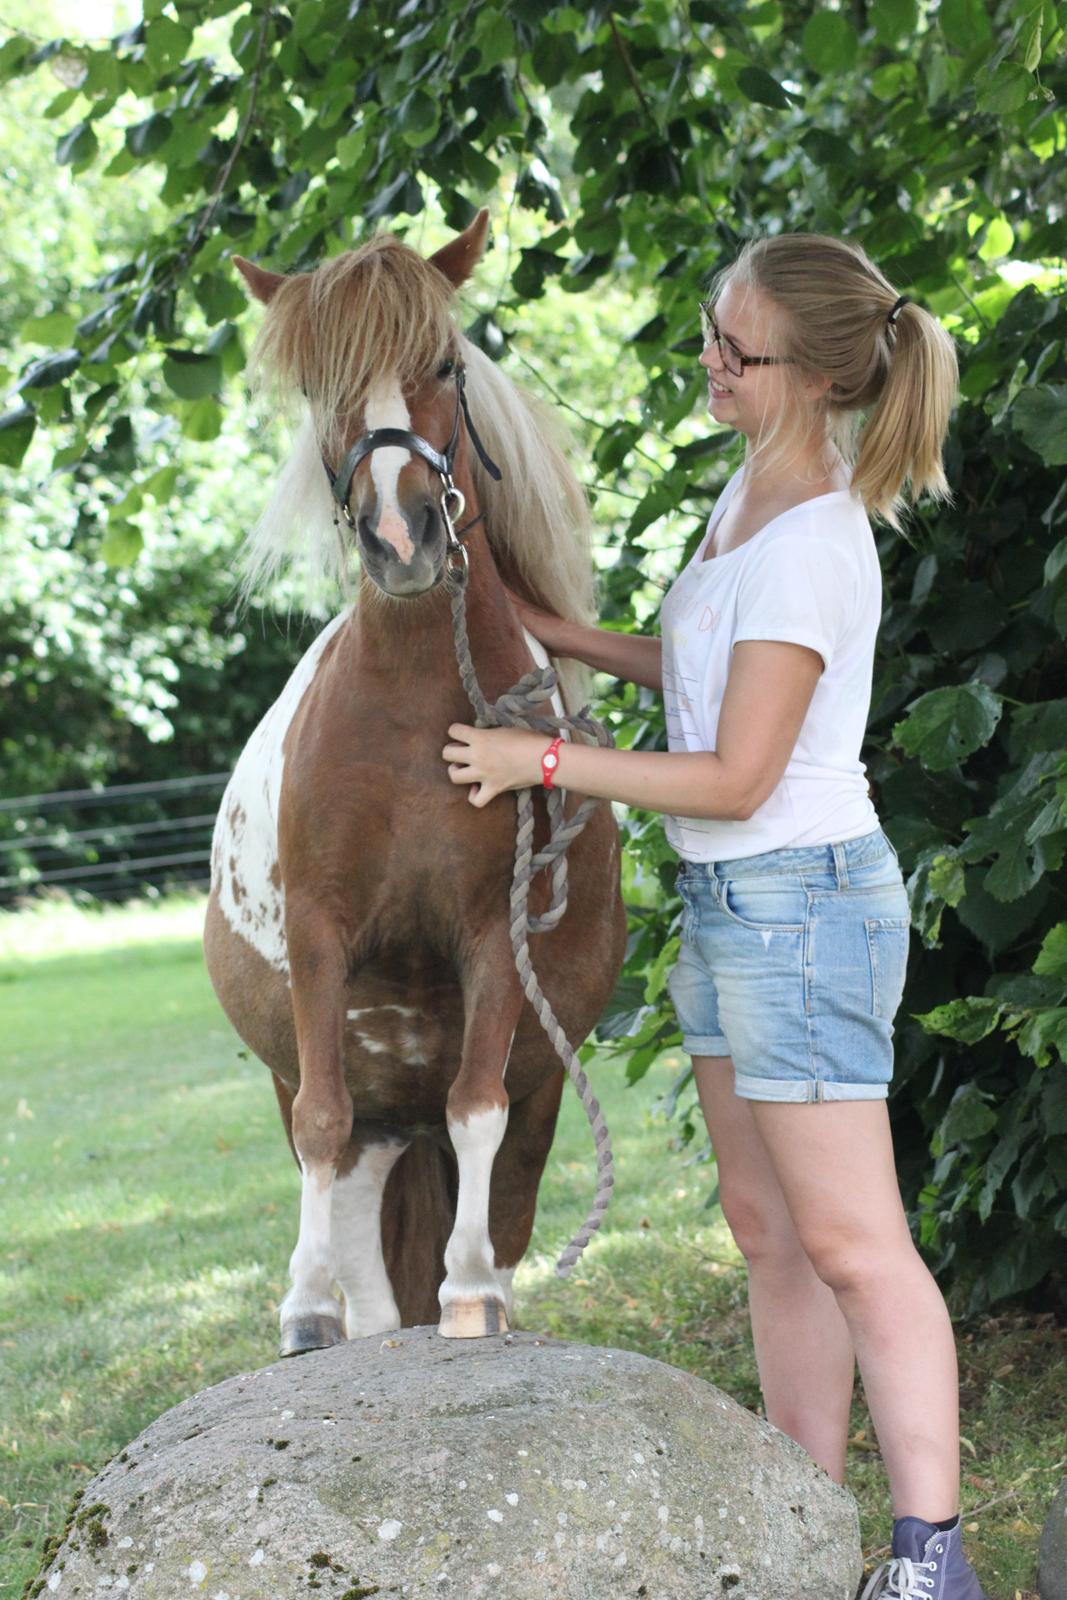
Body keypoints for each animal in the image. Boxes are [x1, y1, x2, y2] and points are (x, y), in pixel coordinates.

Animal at [204, 209, 630, 1350]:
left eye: (443, 363)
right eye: (319, 386)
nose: (401, 539)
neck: (403, 712)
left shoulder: (493, 936)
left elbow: (474, 1107)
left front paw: (471, 1294)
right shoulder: (319, 933)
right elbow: (320, 1120)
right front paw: (302, 1308)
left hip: (527, 1091)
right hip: (356, 1104)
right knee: (351, 1199)